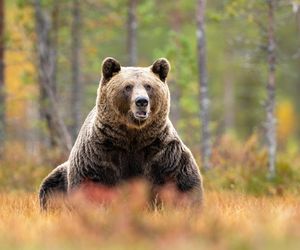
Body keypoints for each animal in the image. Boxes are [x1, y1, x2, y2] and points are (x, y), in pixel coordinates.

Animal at [39, 57, 204, 209]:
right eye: (128, 86)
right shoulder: (98, 154)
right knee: (50, 187)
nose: (142, 101)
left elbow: (182, 182)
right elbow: (89, 185)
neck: (132, 136)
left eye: (148, 86)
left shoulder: (162, 152)